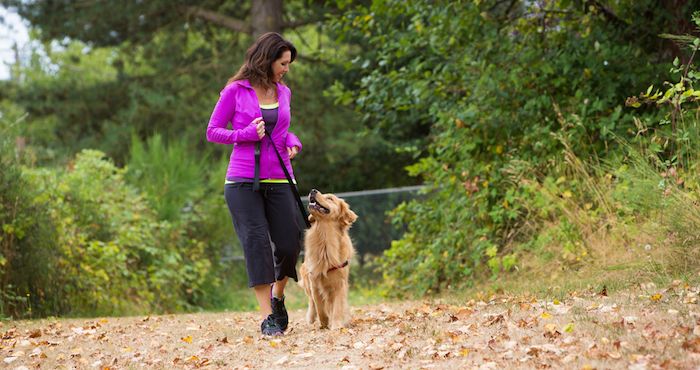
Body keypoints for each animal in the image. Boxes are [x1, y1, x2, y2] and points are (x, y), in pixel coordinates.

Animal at [298, 189, 358, 328]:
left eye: (330, 198)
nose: (313, 190)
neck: (325, 237)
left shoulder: (340, 284)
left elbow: (337, 307)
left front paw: (336, 325)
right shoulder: (314, 282)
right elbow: (319, 306)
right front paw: (324, 323)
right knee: (311, 303)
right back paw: (311, 319)